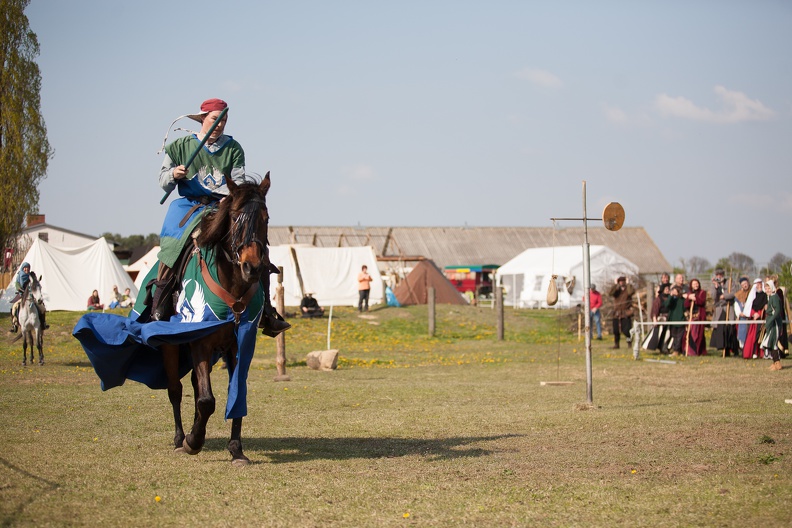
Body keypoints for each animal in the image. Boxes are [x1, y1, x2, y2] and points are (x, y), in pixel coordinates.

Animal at [161, 173, 272, 466]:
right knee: (176, 389)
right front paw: (192, 441)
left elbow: (236, 393)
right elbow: (206, 400)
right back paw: (180, 438)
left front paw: (236, 449)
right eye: (233, 218)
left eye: (265, 218)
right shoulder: (200, 342)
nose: (252, 267)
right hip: (170, 344)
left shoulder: (239, 345)